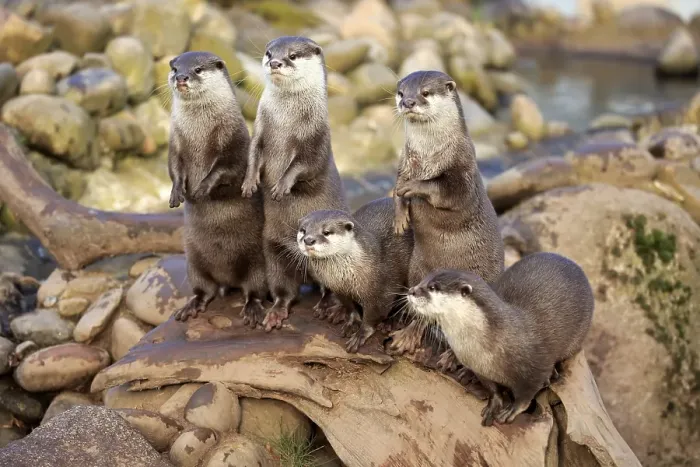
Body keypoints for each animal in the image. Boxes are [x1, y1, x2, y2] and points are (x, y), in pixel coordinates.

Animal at [167, 51, 267, 325]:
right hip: (194, 262)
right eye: (175, 68)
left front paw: (202, 189)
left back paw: (253, 309)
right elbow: (174, 167)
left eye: (198, 69)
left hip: (258, 263)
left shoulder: (235, 142)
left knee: (255, 289)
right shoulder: (175, 143)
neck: (199, 133)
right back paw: (191, 306)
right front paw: (176, 193)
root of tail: (228, 279)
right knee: (205, 289)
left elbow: (227, 169)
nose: (181, 77)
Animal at [241, 36, 348, 331]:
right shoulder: (259, 131)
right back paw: (275, 312)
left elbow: (305, 165)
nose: (275, 63)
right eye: (269, 53)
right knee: (285, 291)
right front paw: (250, 182)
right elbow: (252, 155)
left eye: (292, 55)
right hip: (273, 250)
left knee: (329, 287)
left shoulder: (317, 140)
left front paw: (281, 185)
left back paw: (329, 307)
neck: (285, 123)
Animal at [297, 197, 414, 352]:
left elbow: (373, 316)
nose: (308, 240)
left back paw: (392, 320)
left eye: (327, 232)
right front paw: (352, 322)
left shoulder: (381, 293)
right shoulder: (339, 289)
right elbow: (350, 307)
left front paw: (360, 334)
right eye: (303, 230)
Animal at [387, 70, 504, 357]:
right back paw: (407, 334)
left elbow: (441, 189)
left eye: (425, 93)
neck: (429, 157)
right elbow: (397, 191)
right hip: (417, 271)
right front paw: (400, 219)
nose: (407, 103)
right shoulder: (404, 162)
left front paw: (415, 187)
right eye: (401, 92)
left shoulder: (462, 173)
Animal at [406, 252, 595, 426]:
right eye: (422, 280)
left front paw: (511, 410)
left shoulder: (535, 370)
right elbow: (491, 388)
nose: (411, 291)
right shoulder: (479, 368)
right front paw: (494, 403)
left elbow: (526, 395)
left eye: (433, 287)